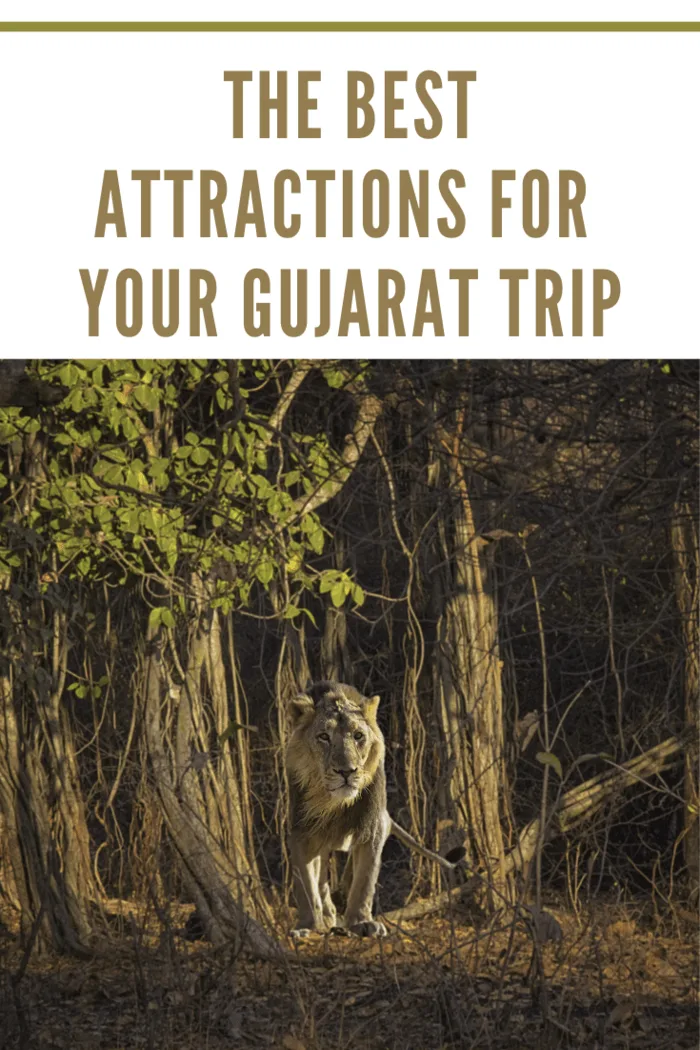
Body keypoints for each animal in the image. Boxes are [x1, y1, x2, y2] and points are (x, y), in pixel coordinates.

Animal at [285, 680, 459, 936]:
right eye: (323, 736)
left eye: (358, 736)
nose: (346, 771)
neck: (334, 803)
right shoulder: (301, 830)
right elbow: (305, 883)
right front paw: (308, 926)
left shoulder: (373, 826)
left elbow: (364, 879)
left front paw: (361, 922)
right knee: (320, 875)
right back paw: (326, 915)